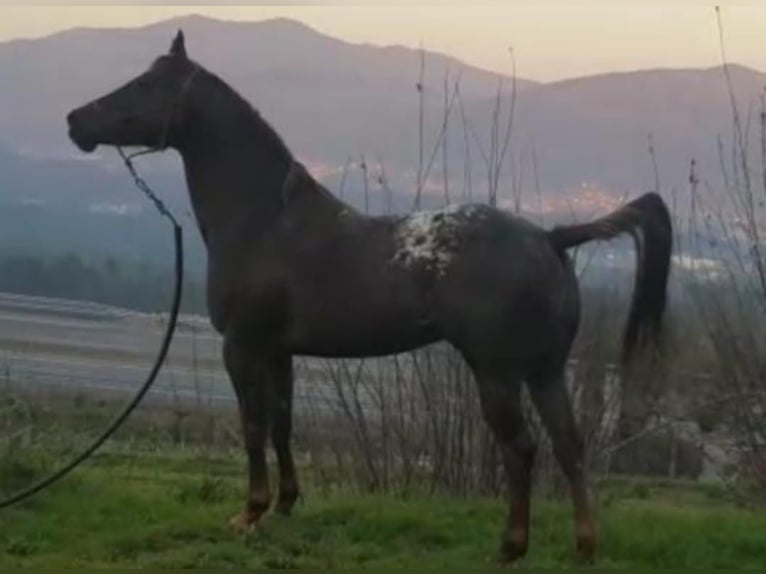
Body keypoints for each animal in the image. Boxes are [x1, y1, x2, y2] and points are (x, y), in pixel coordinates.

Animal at [69, 32, 676, 568]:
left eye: (145, 84)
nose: (76, 120)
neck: (267, 220)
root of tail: (551, 237)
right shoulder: (279, 351)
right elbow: (283, 422)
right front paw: (285, 505)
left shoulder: (242, 346)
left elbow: (253, 425)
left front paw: (249, 513)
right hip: (545, 371)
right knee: (570, 447)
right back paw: (584, 547)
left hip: (498, 372)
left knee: (521, 448)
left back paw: (510, 547)